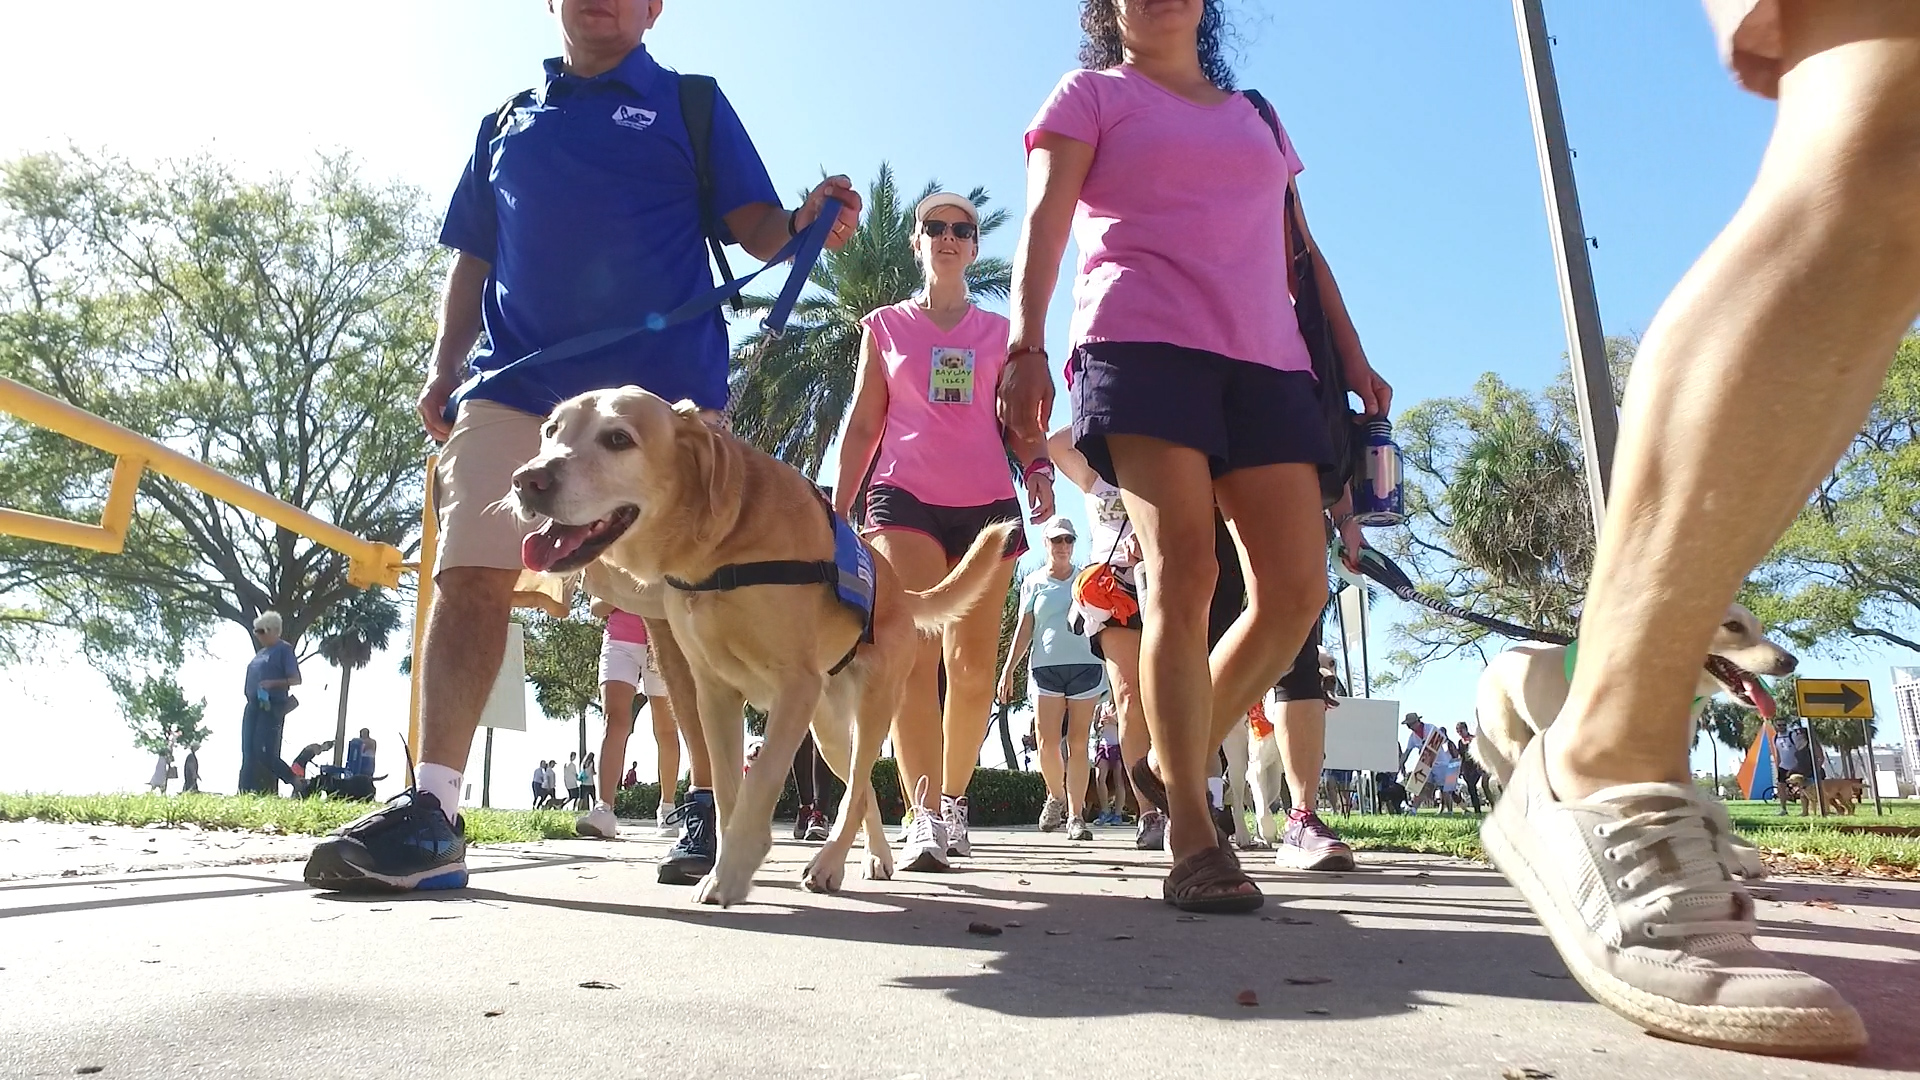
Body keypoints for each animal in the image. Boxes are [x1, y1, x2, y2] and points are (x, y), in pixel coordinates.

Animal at [510, 382, 1021, 903]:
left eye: (618, 439)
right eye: (550, 431)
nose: (526, 480)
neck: (721, 543)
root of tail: (897, 586)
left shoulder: (795, 688)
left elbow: (760, 785)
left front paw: (731, 874)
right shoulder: (715, 695)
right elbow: (729, 793)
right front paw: (722, 862)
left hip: (874, 707)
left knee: (857, 786)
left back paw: (830, 861)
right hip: (828, 730)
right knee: (863, 793)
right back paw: (873, 857)